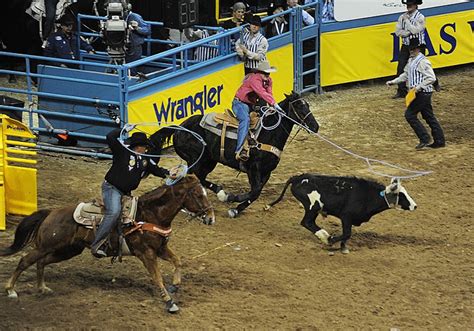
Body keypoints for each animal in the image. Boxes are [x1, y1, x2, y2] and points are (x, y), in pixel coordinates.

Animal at [0, 175, 215, 316]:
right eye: (198, 195)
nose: (211, 218)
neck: (150, 214)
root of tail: (51, 212)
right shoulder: (146, 253)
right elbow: (157, 277)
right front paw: (169, 302)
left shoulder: (160, 249)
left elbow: (178, 261)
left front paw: (175, 286)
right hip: (47, 246)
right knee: (25, 260)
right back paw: (11, 290)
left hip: (68, 250)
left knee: (41, 262)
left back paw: (42, 287)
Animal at [149, 92, 318, 218]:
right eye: (299, 106)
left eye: (308, 105)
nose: (315, 126)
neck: (268, 134)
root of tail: (180, 127)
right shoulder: (253, 169)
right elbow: (255, 191)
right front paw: (233, 201)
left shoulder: (266, 171)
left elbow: (256, 192)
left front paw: (236, 208)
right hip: (197, 159)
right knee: (192, 177)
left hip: (208, 161)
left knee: (196, 178)